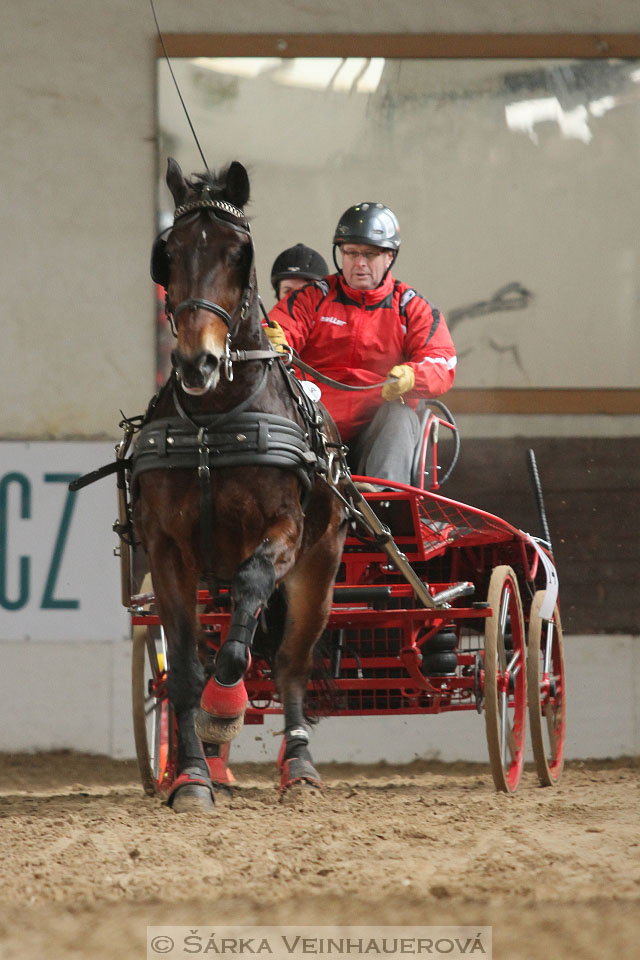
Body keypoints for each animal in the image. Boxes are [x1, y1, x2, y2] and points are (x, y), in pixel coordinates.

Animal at [132, 158, 348, 808]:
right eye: (169, 253)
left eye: (237, 253)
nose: (195, 362)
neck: (213, 422)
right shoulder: (167, 549)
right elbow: (183, 667)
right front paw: (191, 775)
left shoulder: (284, 532)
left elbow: (245, 622)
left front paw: (223, 708)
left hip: (319, 569)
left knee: (291, 663)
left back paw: (298, 764)